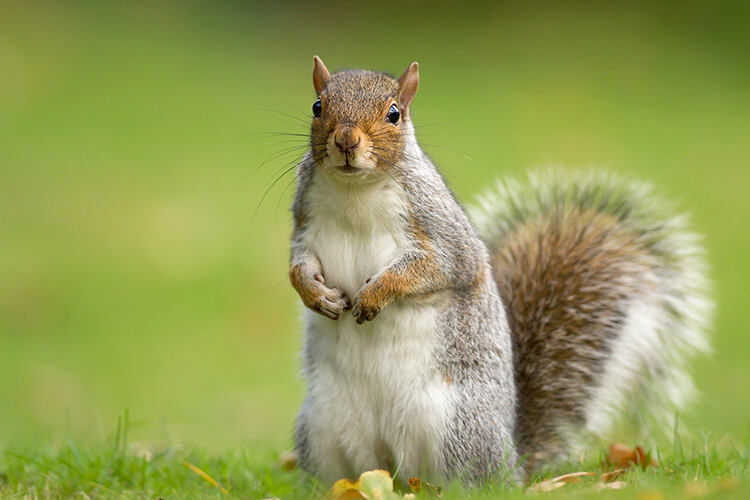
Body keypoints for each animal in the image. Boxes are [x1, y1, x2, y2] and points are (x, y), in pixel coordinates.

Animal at [286, 55, 712, 484]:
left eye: (394, 114)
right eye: (317, 106)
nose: (346, 141)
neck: (355, 190)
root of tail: (513, 460)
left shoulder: (443, 234)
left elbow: (437, 268)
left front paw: (376, 294)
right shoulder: (305, 226)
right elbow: (297, 266)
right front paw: (315, 294)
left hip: (456, 427)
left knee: (468, 481)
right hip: (322, 426)